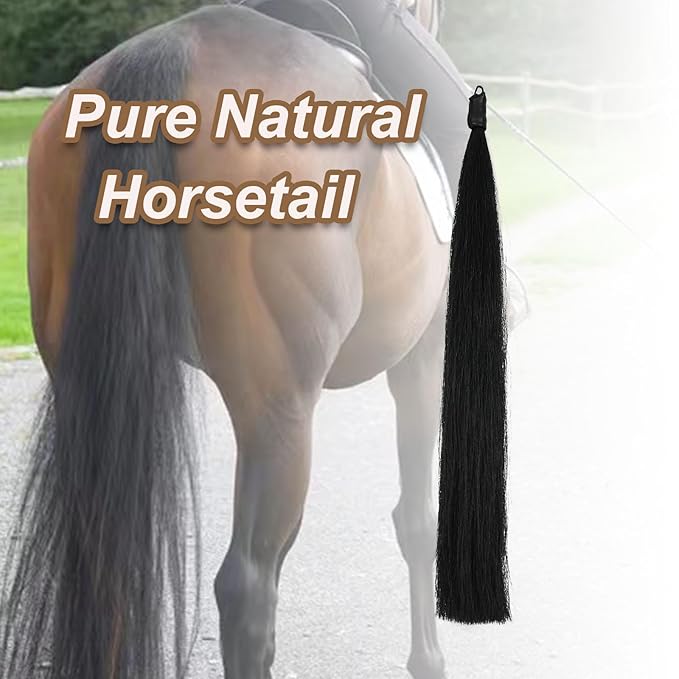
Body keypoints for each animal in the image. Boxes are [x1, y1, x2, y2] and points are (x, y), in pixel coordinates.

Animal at [0, 1, 519, 678]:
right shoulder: (423, 359)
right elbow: (418, 517)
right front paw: (428, 659)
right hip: (279, 411)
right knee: (247, 586)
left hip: (92, 382)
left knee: (108, 563)